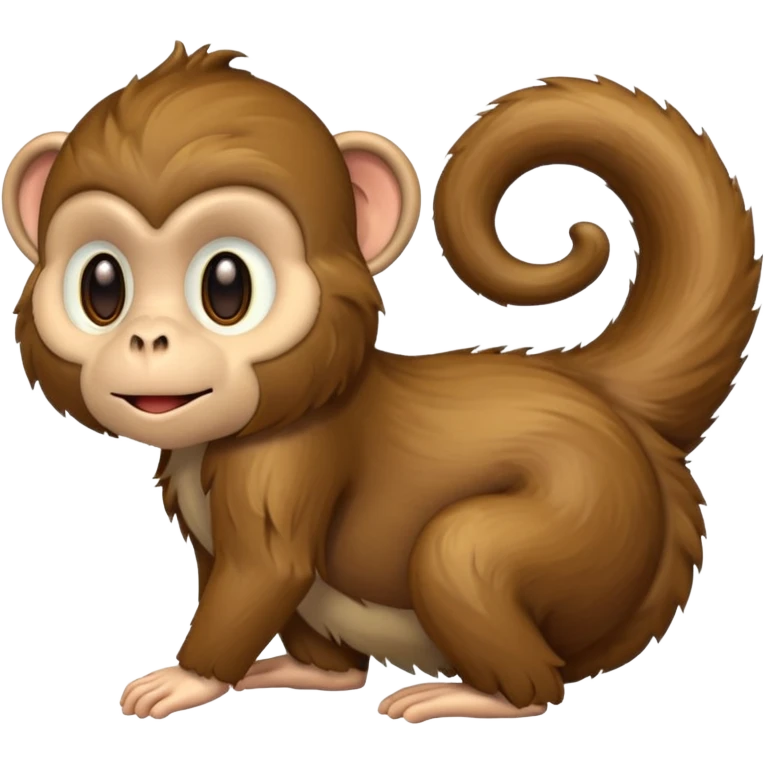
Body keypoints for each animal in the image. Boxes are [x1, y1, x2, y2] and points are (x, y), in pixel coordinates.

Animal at [3, 41, 761, 724]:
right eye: (102, 286)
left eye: (227, 286)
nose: (148, 338)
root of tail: (605, 398)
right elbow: (237, 573)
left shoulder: (289, 460)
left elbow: (266, 571)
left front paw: (189, 678)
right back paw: (311, 671)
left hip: (585, 520)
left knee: (464, 555)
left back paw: (478, 695)